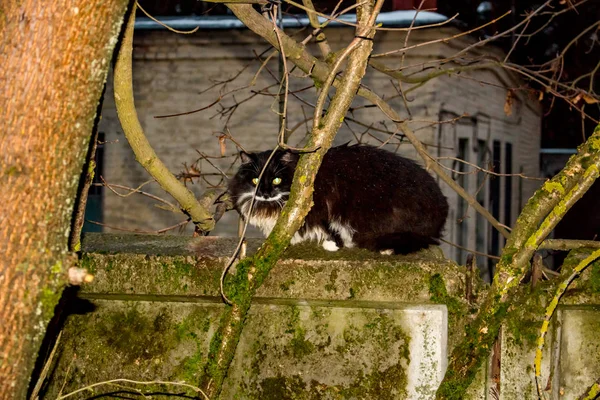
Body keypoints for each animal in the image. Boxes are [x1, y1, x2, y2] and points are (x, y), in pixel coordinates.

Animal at [227, 145, 448, 255]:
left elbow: (326, 225)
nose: (264, 193)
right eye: (255, 181)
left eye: (276, 180)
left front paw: (333, 244)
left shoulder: (322, 205)